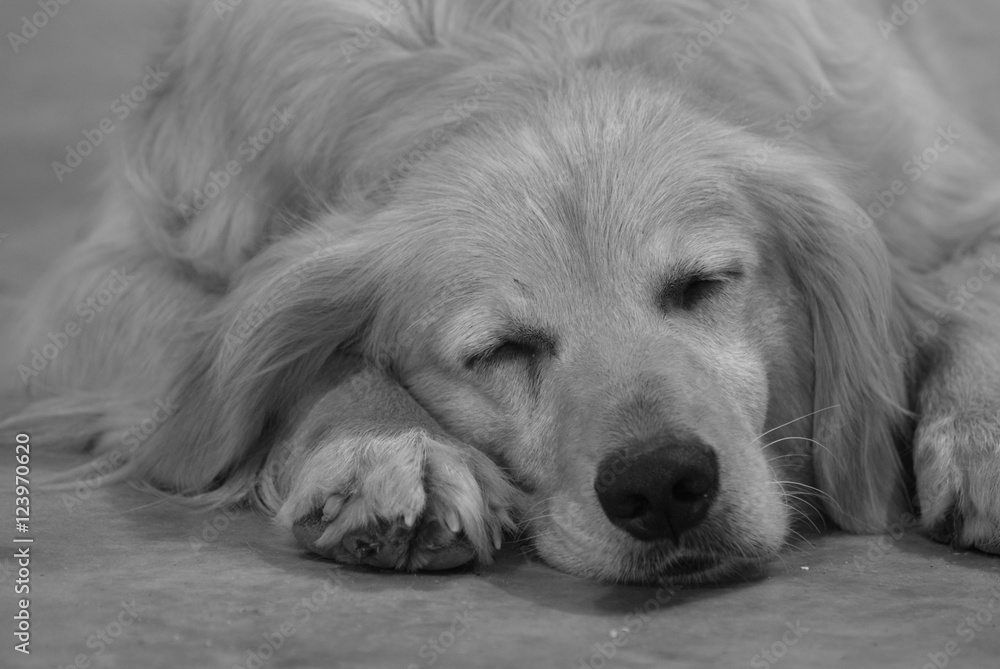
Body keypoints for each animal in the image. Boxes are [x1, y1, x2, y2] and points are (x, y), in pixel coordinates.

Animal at [1, 0, 1000, 580]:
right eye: (500, 350)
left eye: (702, 285)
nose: (663, 484)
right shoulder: (94, 285)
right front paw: (381, 445)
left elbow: (970, 286)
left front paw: (984, 434)